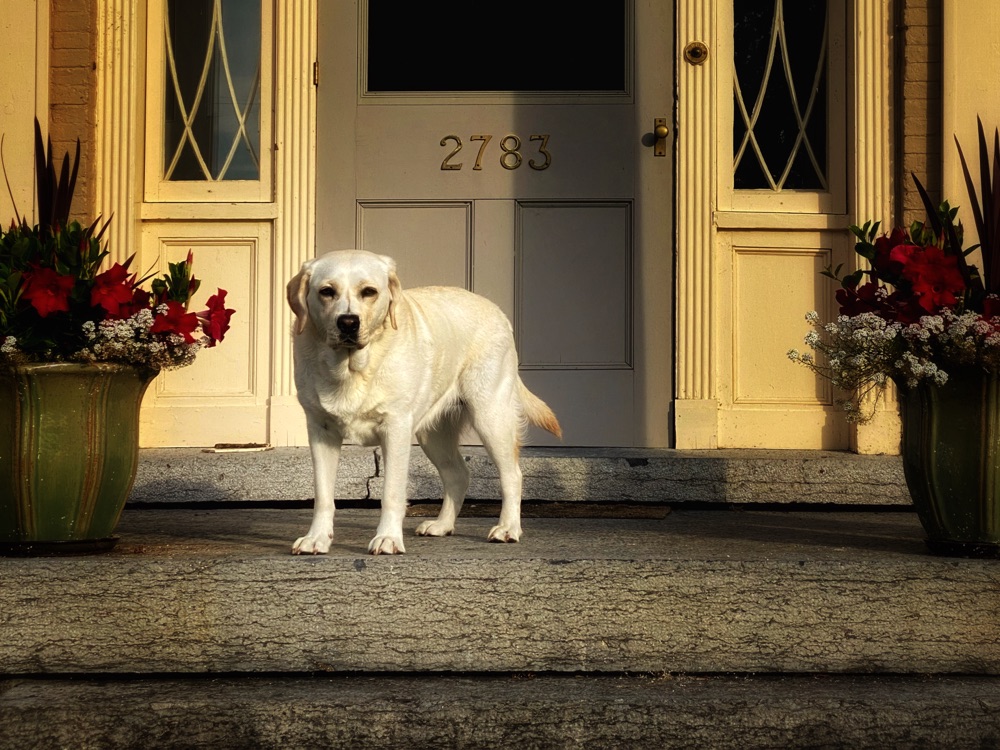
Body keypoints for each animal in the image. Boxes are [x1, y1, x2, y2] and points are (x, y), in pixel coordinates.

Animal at [286, 250, 564, 556]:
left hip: (491, 415)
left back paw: (508, 529)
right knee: (458, 474)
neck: (351, 368)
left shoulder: (395, 428)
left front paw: (388, 538)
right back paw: (442, 525)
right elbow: (323, 495)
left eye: (369, 292)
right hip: (434, 434)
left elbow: (391, 492)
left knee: (513, 475)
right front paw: (317, 538)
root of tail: (497, 310)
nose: (348, 322)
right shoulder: (320, 431)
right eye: (326, 291)